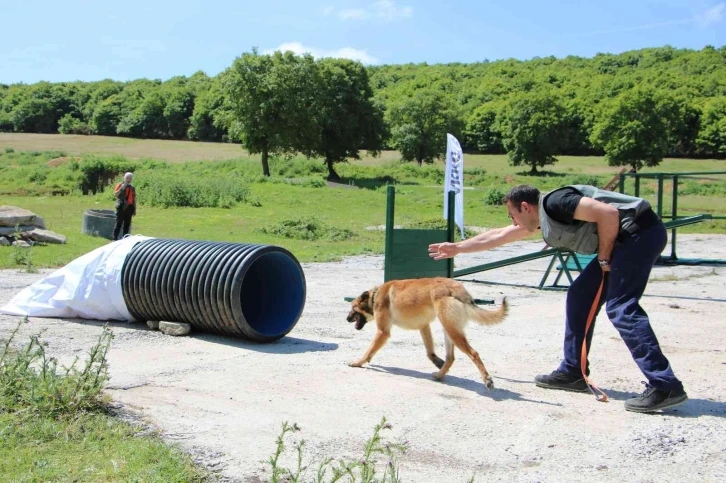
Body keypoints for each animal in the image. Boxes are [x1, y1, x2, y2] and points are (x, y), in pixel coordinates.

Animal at [348, 276, 510, 390]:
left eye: (353, 308)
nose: (347, 318)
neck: (375, 296)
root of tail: (457, 289)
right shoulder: (424, 326)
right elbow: (429, 352)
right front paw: (437, 362)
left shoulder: (383, 332)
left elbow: (369, 351)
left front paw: (358, 362)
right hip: (449, 331)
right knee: (450, 357)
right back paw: (439, 374)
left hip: (453, 332)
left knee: (474, 353)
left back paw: (487, 380)